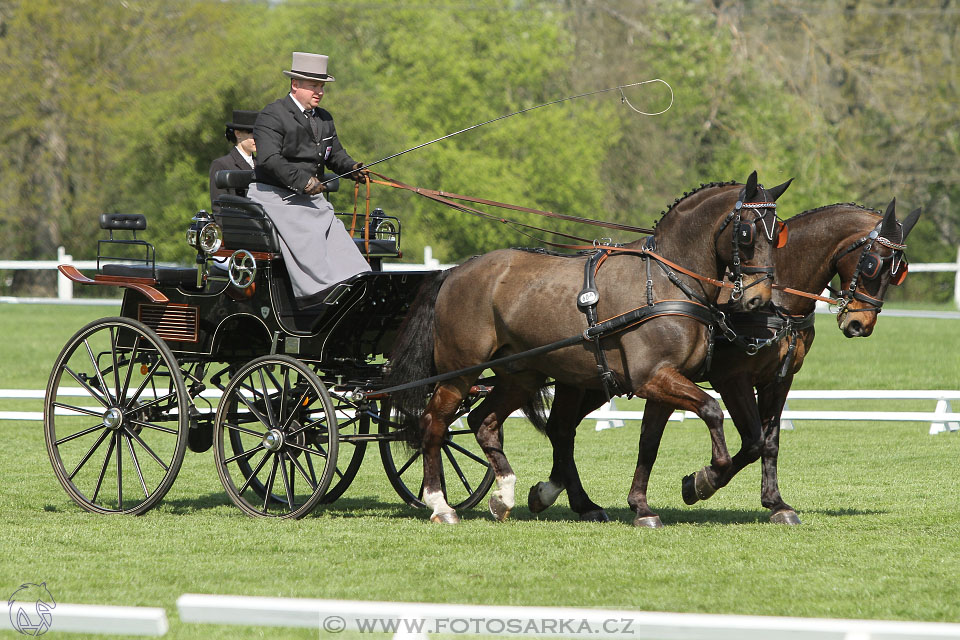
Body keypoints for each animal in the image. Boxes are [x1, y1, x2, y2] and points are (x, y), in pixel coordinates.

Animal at [386, 172, 792, 524]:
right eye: (746, 231)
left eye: (779, 236)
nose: (758, 299)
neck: (664, 281)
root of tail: (454, 271)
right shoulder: (653, 378)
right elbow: (711, 410)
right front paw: (705, 478)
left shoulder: (665, 380)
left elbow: (651, 442)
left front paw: (646, 505)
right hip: (460, 372)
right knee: (434, 424)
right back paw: (441, 505)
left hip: (522, 375)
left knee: (484, 422)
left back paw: (504, 496)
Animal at [528, 199, 920, 524]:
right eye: (872, 263)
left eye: (900, 271)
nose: (859, 324)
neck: (774, 299)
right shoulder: (732, 378)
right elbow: (752, 440)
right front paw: (699, 483)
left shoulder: (779, 379)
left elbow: (770, 442)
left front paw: (776, 503)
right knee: (561, 428)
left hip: (596, 380)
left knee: (561, 428)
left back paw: (555, 493)